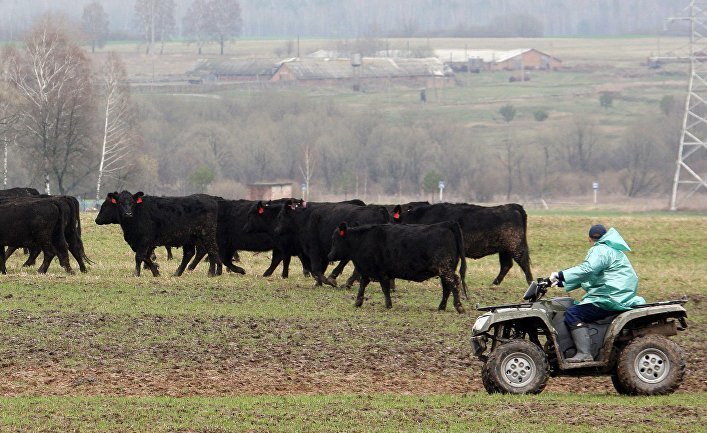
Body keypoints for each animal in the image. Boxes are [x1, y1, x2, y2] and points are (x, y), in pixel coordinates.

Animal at [328, 223, 470, 310]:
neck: (362, 240)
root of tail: (446, 224)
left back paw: (458, 306)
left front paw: (388, 305)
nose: (329, 256)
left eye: (335, 240)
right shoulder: (367, 271)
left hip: (445, 268)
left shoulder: (381, 272)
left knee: (453, 283)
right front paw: (358, 302)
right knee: (447, 286)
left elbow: (384, 288)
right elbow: (362, 286)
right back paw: (441, 307)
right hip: (443, 270)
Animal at [392, 202, 532, 286]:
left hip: (515, 245)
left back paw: (530, 282)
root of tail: (513, 206)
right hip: (504, 249)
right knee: (506, 265)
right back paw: (494, 284)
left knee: (523, 262)